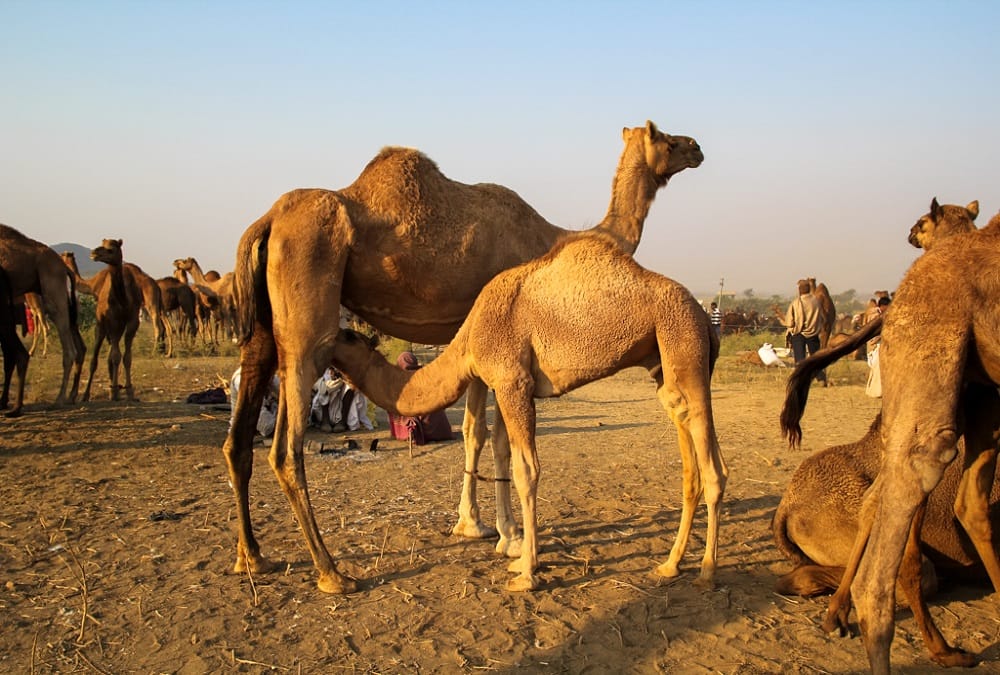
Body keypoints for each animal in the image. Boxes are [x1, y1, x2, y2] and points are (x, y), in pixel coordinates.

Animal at [81, 239, 143, 402]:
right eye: (102, 244)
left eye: (111, 249)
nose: (94, 253)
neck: (124, 300)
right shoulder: (113, 320)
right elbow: (116, 357)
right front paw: (116, 390)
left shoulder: (133, 321)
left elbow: (127, 357)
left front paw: (129, 391)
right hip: (100, 324)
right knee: (95, 359)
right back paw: (86, 394)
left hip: (117, 327)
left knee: (110, 356)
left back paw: (111, 389)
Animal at [331, 234, 726, 591]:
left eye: (348, 337)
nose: (328, 342)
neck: (471, 334)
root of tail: (704, 319)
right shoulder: (509, 384)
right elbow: (503, 450)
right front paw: (513, 547)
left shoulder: (512, 382)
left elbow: (526, 470)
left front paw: (526, 571)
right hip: (664, 363)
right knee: (687, 448)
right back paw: (670, 565)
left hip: (684, 342)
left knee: (714, 468)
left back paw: (708, 571)